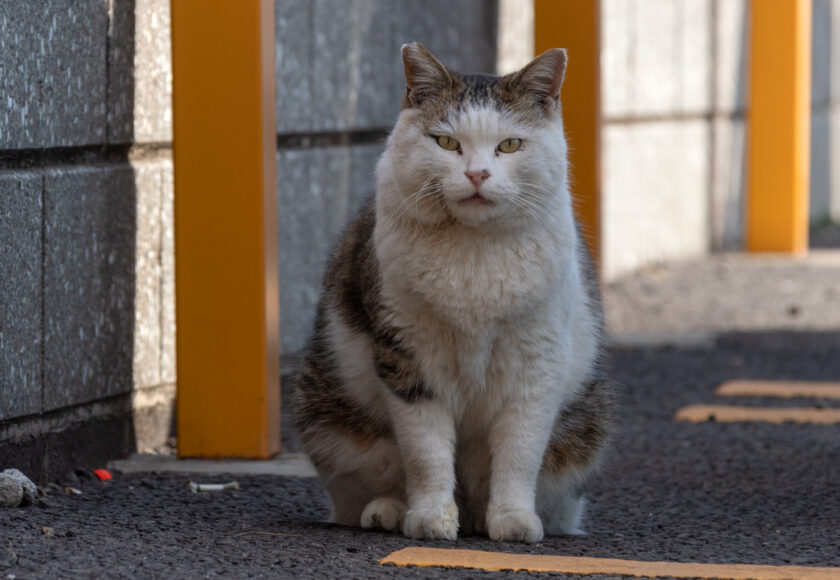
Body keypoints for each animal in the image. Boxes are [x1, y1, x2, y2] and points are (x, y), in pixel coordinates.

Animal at [292, 42, 612, 544]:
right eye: (446, 143)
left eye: (509, 145)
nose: (478, 174)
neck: (473, 253)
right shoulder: (408, 357)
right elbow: (425, 452)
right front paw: (429, 519)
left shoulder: (538, 362)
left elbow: (520, 452)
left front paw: (514, 520)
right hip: (330, 417)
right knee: (370, 485)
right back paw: (389, 511)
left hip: (584, 433)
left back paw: (483, 518)